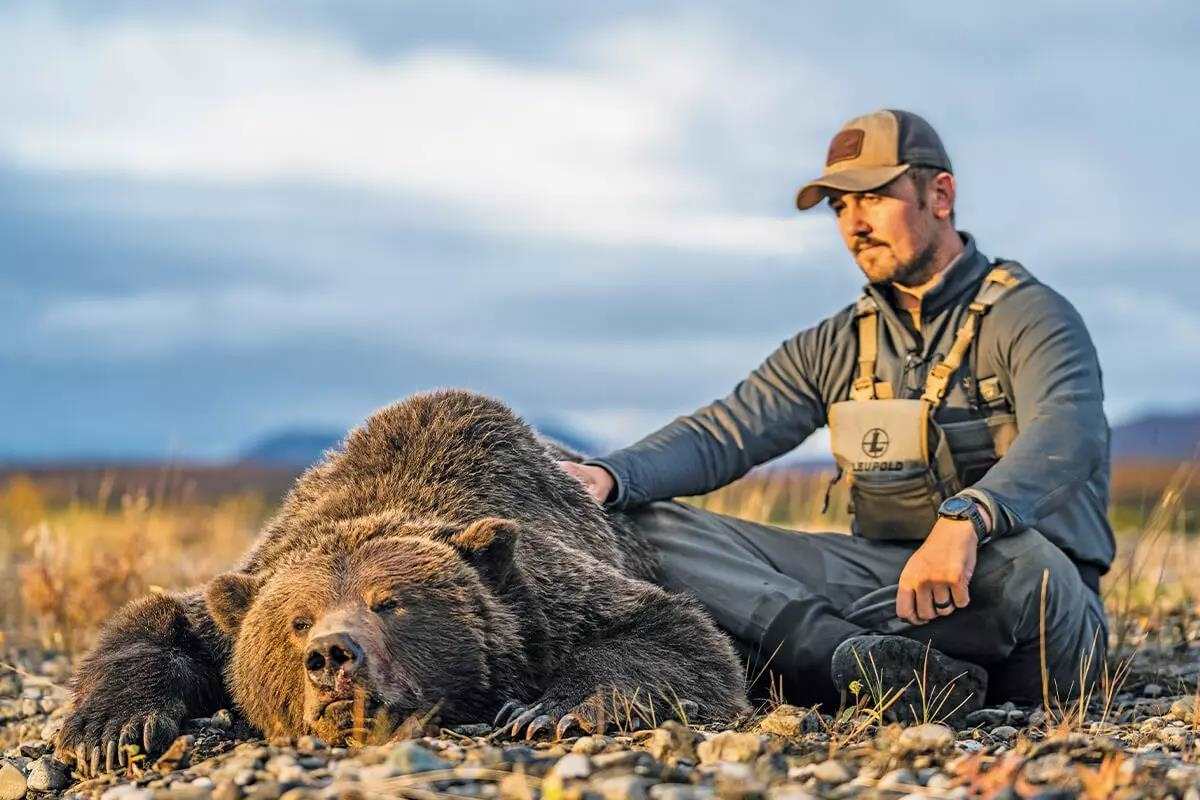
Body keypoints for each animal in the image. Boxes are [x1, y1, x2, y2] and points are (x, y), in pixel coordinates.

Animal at [59, 390, 750, 776]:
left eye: (390, 603)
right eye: (298, 621)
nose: (332, 657)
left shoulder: (550, 591)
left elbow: (670, 631)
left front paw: (545, 712)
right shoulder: (247, 585)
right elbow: (160, 623)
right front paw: (107, 732)